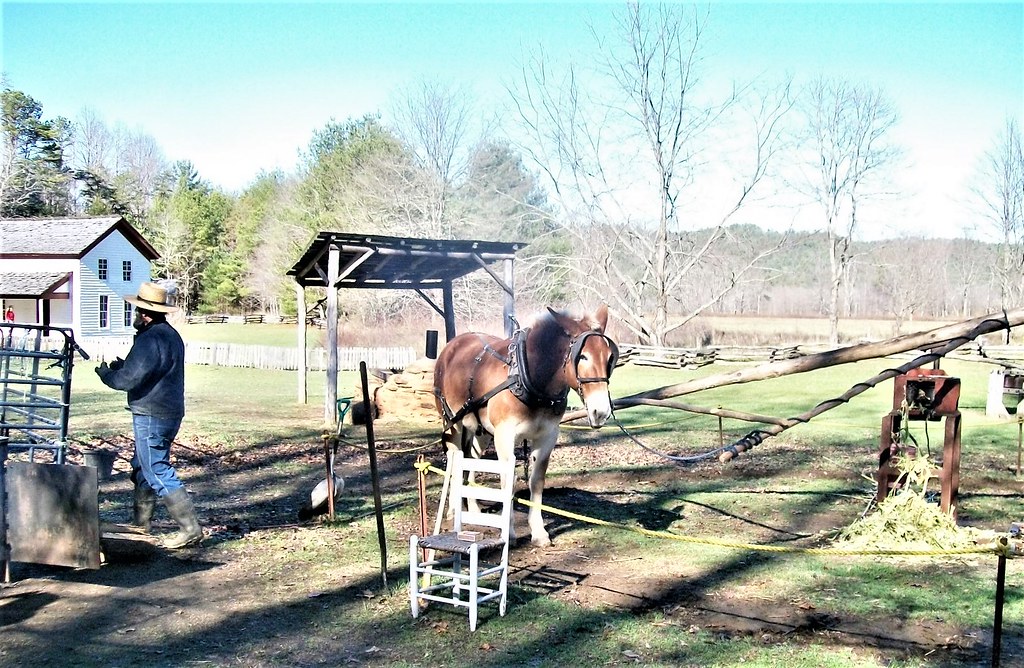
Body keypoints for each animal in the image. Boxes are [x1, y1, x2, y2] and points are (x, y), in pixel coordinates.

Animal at [432, 304, 618, 546]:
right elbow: (507, 481)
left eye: (609, 357)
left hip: (481, 430)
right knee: (455, 459)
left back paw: (472, 508)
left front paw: (539, 532)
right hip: (452, 423)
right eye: (583, 356)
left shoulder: (547, 436)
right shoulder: (504, 436)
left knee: (472, 459)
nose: (601, 412)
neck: (529, 377)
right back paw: (454, 509)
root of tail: (452, 345)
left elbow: (536, 481)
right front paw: (508, 532)